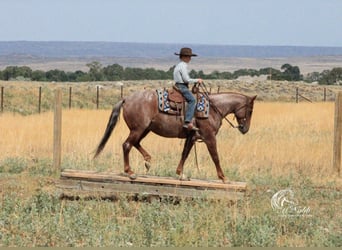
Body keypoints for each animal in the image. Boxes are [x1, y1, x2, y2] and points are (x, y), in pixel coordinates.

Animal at [95, 86, 255, 184]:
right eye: (250, 110)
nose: (245, 129)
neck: (214, 109)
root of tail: (126, 99)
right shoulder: (209, 137)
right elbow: (215, 157)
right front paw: (223, 178)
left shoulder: (192, 137)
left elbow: (185, 154)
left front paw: (180, 174)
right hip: (138, 129)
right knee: (127, 145)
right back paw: (130, 172)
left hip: (144, 129)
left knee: (135, 143)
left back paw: (148, 160)